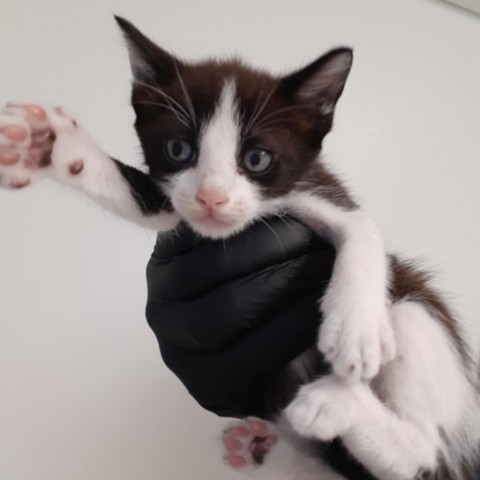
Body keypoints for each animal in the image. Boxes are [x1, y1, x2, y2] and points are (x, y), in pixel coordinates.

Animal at [0, 15, 480, 480]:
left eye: (256, 159)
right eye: (179, 149)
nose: (211, 197)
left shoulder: (318, 185)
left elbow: (361, 230)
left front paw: (354, 333)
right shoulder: (172, 205)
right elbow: (140, 198)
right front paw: (53, 146)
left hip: (417, 321)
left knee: (423, 448)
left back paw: (336, 402)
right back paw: (265, 452)